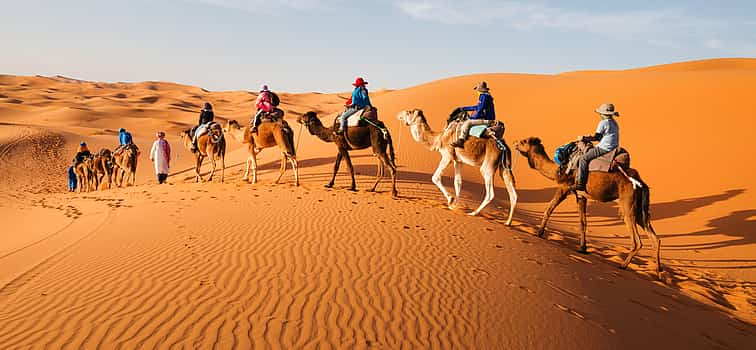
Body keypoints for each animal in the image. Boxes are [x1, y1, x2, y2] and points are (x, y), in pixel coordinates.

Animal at [512, 137, 660, 274]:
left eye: (524, 141)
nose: (514, 142)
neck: (558, 170)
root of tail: (640, 183)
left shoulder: (564, 188)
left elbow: (549, 209)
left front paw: (539, 232)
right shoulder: (581, 196)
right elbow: (583, 222)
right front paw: (582, 248)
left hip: (627, 205)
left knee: (636, 240)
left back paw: (623, 265)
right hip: (639, 208)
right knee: (654, 237)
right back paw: (658, 272)